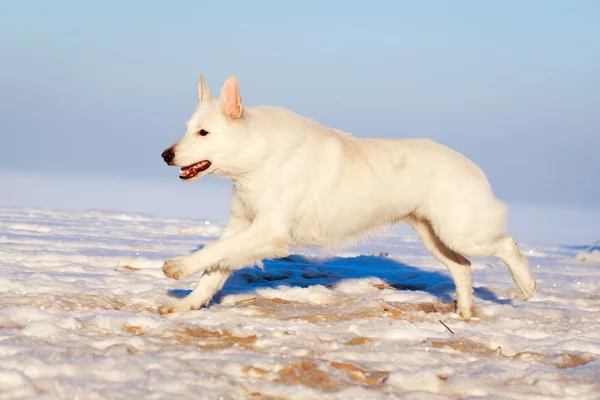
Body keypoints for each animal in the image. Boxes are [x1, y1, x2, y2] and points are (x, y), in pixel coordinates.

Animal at [158, 75, 536, 318]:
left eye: (204, 133)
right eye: (188, 129)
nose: (165, 155)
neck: (258, 160)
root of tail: (471, 165)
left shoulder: (267, 231)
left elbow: (213, 252)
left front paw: (178, 266)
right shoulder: (242, 225)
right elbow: (214, 267)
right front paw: (186, 306)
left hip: (461, 233)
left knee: (506, 245)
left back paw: (526, 285)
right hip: (434, 237)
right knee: (463, 267)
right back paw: (466, 312)